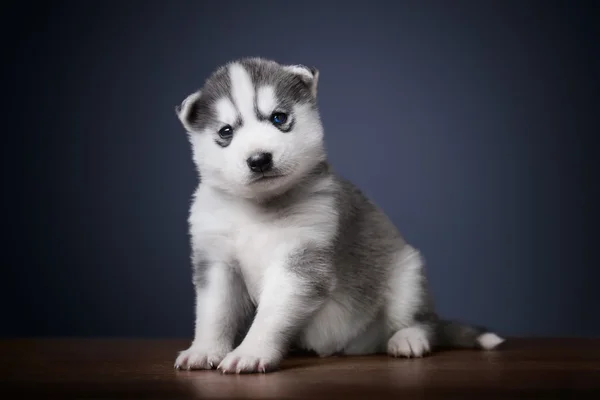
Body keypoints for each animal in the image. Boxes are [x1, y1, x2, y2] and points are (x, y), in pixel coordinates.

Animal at [175, 57, 506, 374]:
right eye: (226, 131)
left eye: (279, 118)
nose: (259, 159)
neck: (257, 208)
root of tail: (360, 346)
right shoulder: (216, 261)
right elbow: (214, 313)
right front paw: (204, 350)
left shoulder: (301, 261)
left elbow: (270, 315)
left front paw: (251, 352)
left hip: (407, 276)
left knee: (422, 321)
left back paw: (409, 338)